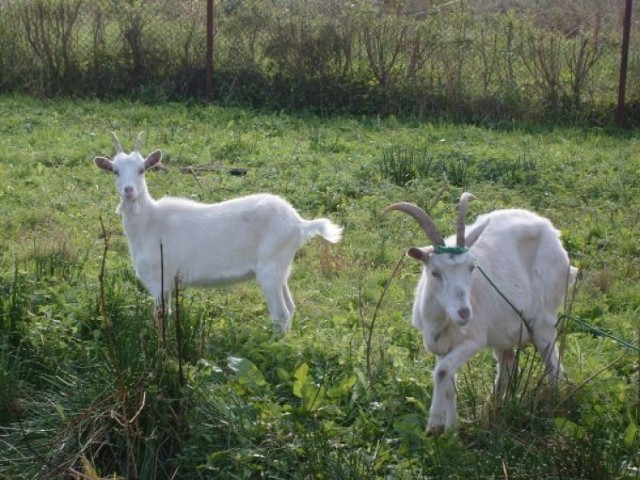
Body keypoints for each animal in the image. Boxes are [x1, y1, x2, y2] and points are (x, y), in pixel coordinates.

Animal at [94, 133, 342, 332]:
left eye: (142, 170)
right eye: (115, 171)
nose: (129, 191)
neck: (150, 223)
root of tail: (299, 223)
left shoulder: (159, 279)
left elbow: (160, 316)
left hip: (270, 269)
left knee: (281, 313)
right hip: (282, 268)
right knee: (291, 306)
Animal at [384, 193, 580, 436]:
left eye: (471, 268)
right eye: (434, 272)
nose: (464, 313)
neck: (441, 320)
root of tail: (552, 232)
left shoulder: (473, 340)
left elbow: (442, 372)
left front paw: (437, 425)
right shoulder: (442, 347)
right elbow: (448, 380)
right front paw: (450, 430)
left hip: (543, 321)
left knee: (554, 366)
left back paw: (548, 408)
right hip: (505, 330)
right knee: (508, 364)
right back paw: (494, 406)